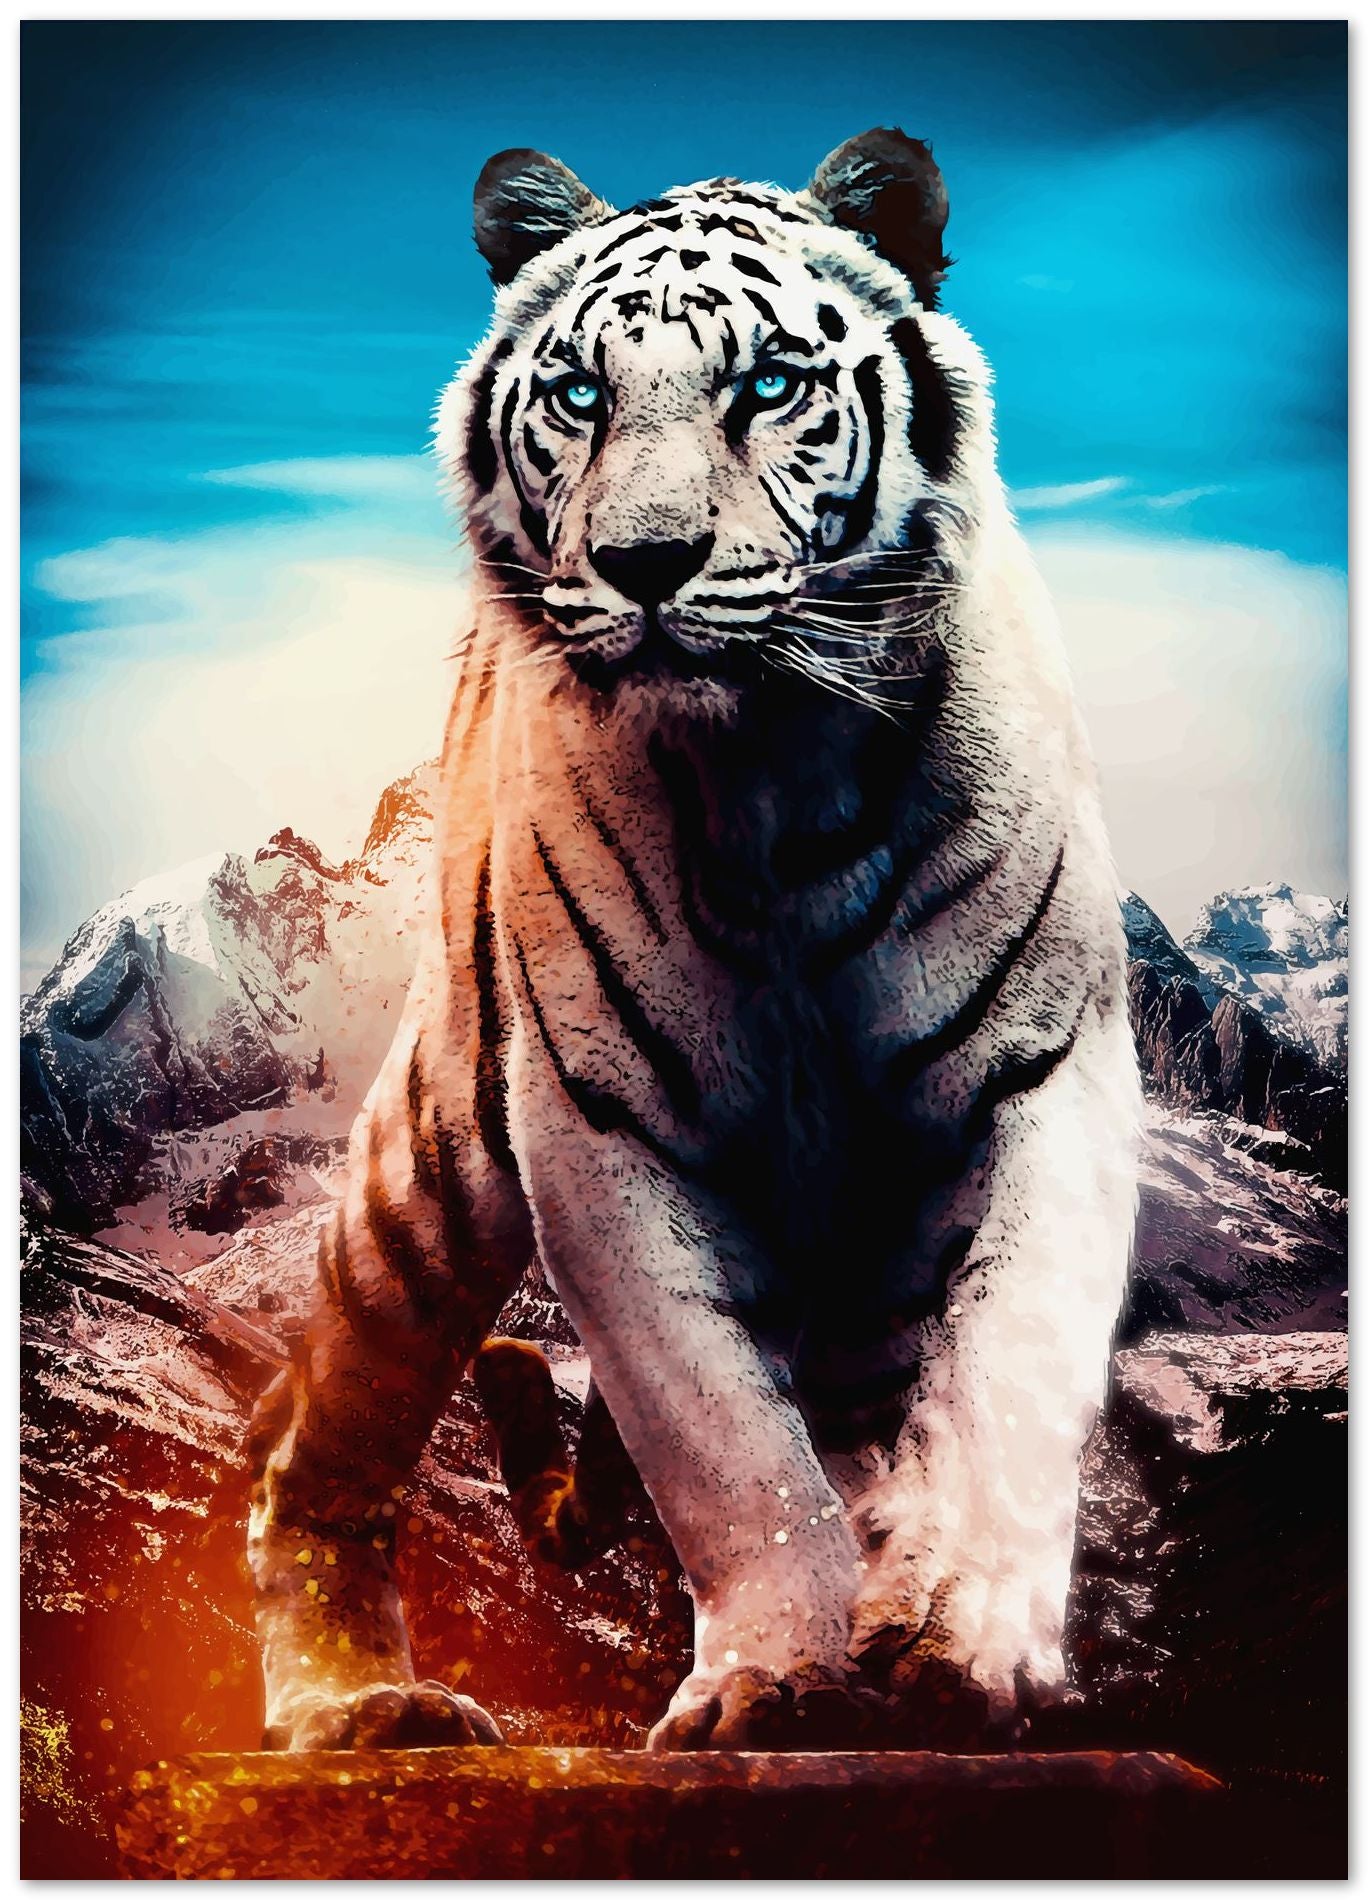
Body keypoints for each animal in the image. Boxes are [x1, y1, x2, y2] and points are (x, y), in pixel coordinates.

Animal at [248, 127, 1140, 1753]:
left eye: (770, 384)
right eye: (581, 395)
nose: (646, 562)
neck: (774, 781)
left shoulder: (1047, 1076)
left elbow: (1009, 1375)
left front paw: (962, 1645)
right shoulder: (600, 1127)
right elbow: (719, 1439)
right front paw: (777, 1678)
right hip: (428, 1169)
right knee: (312, 1439)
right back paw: (362, 1704)